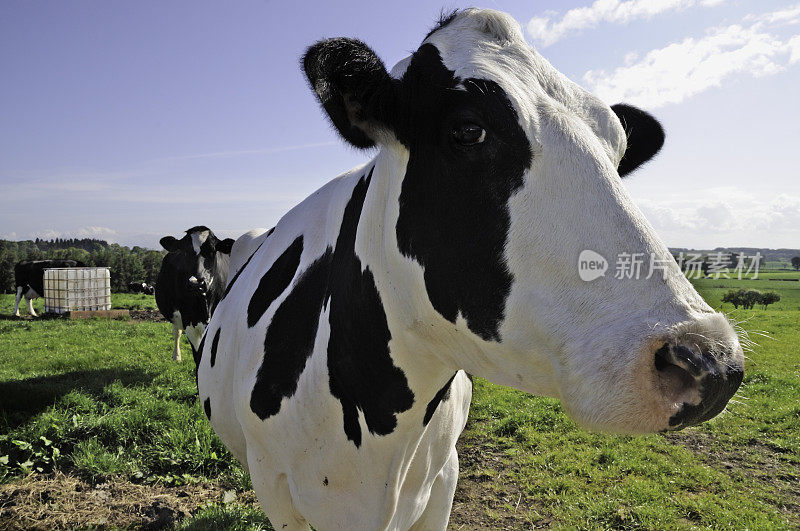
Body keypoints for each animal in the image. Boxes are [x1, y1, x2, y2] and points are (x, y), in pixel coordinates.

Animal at [154, 227, 234, 364]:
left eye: (212, 251)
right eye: (185, 252)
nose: (196, 283)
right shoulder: (189, 321)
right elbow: (198, 355)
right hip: (175, 316)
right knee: (177, 332)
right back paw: (176, 356)